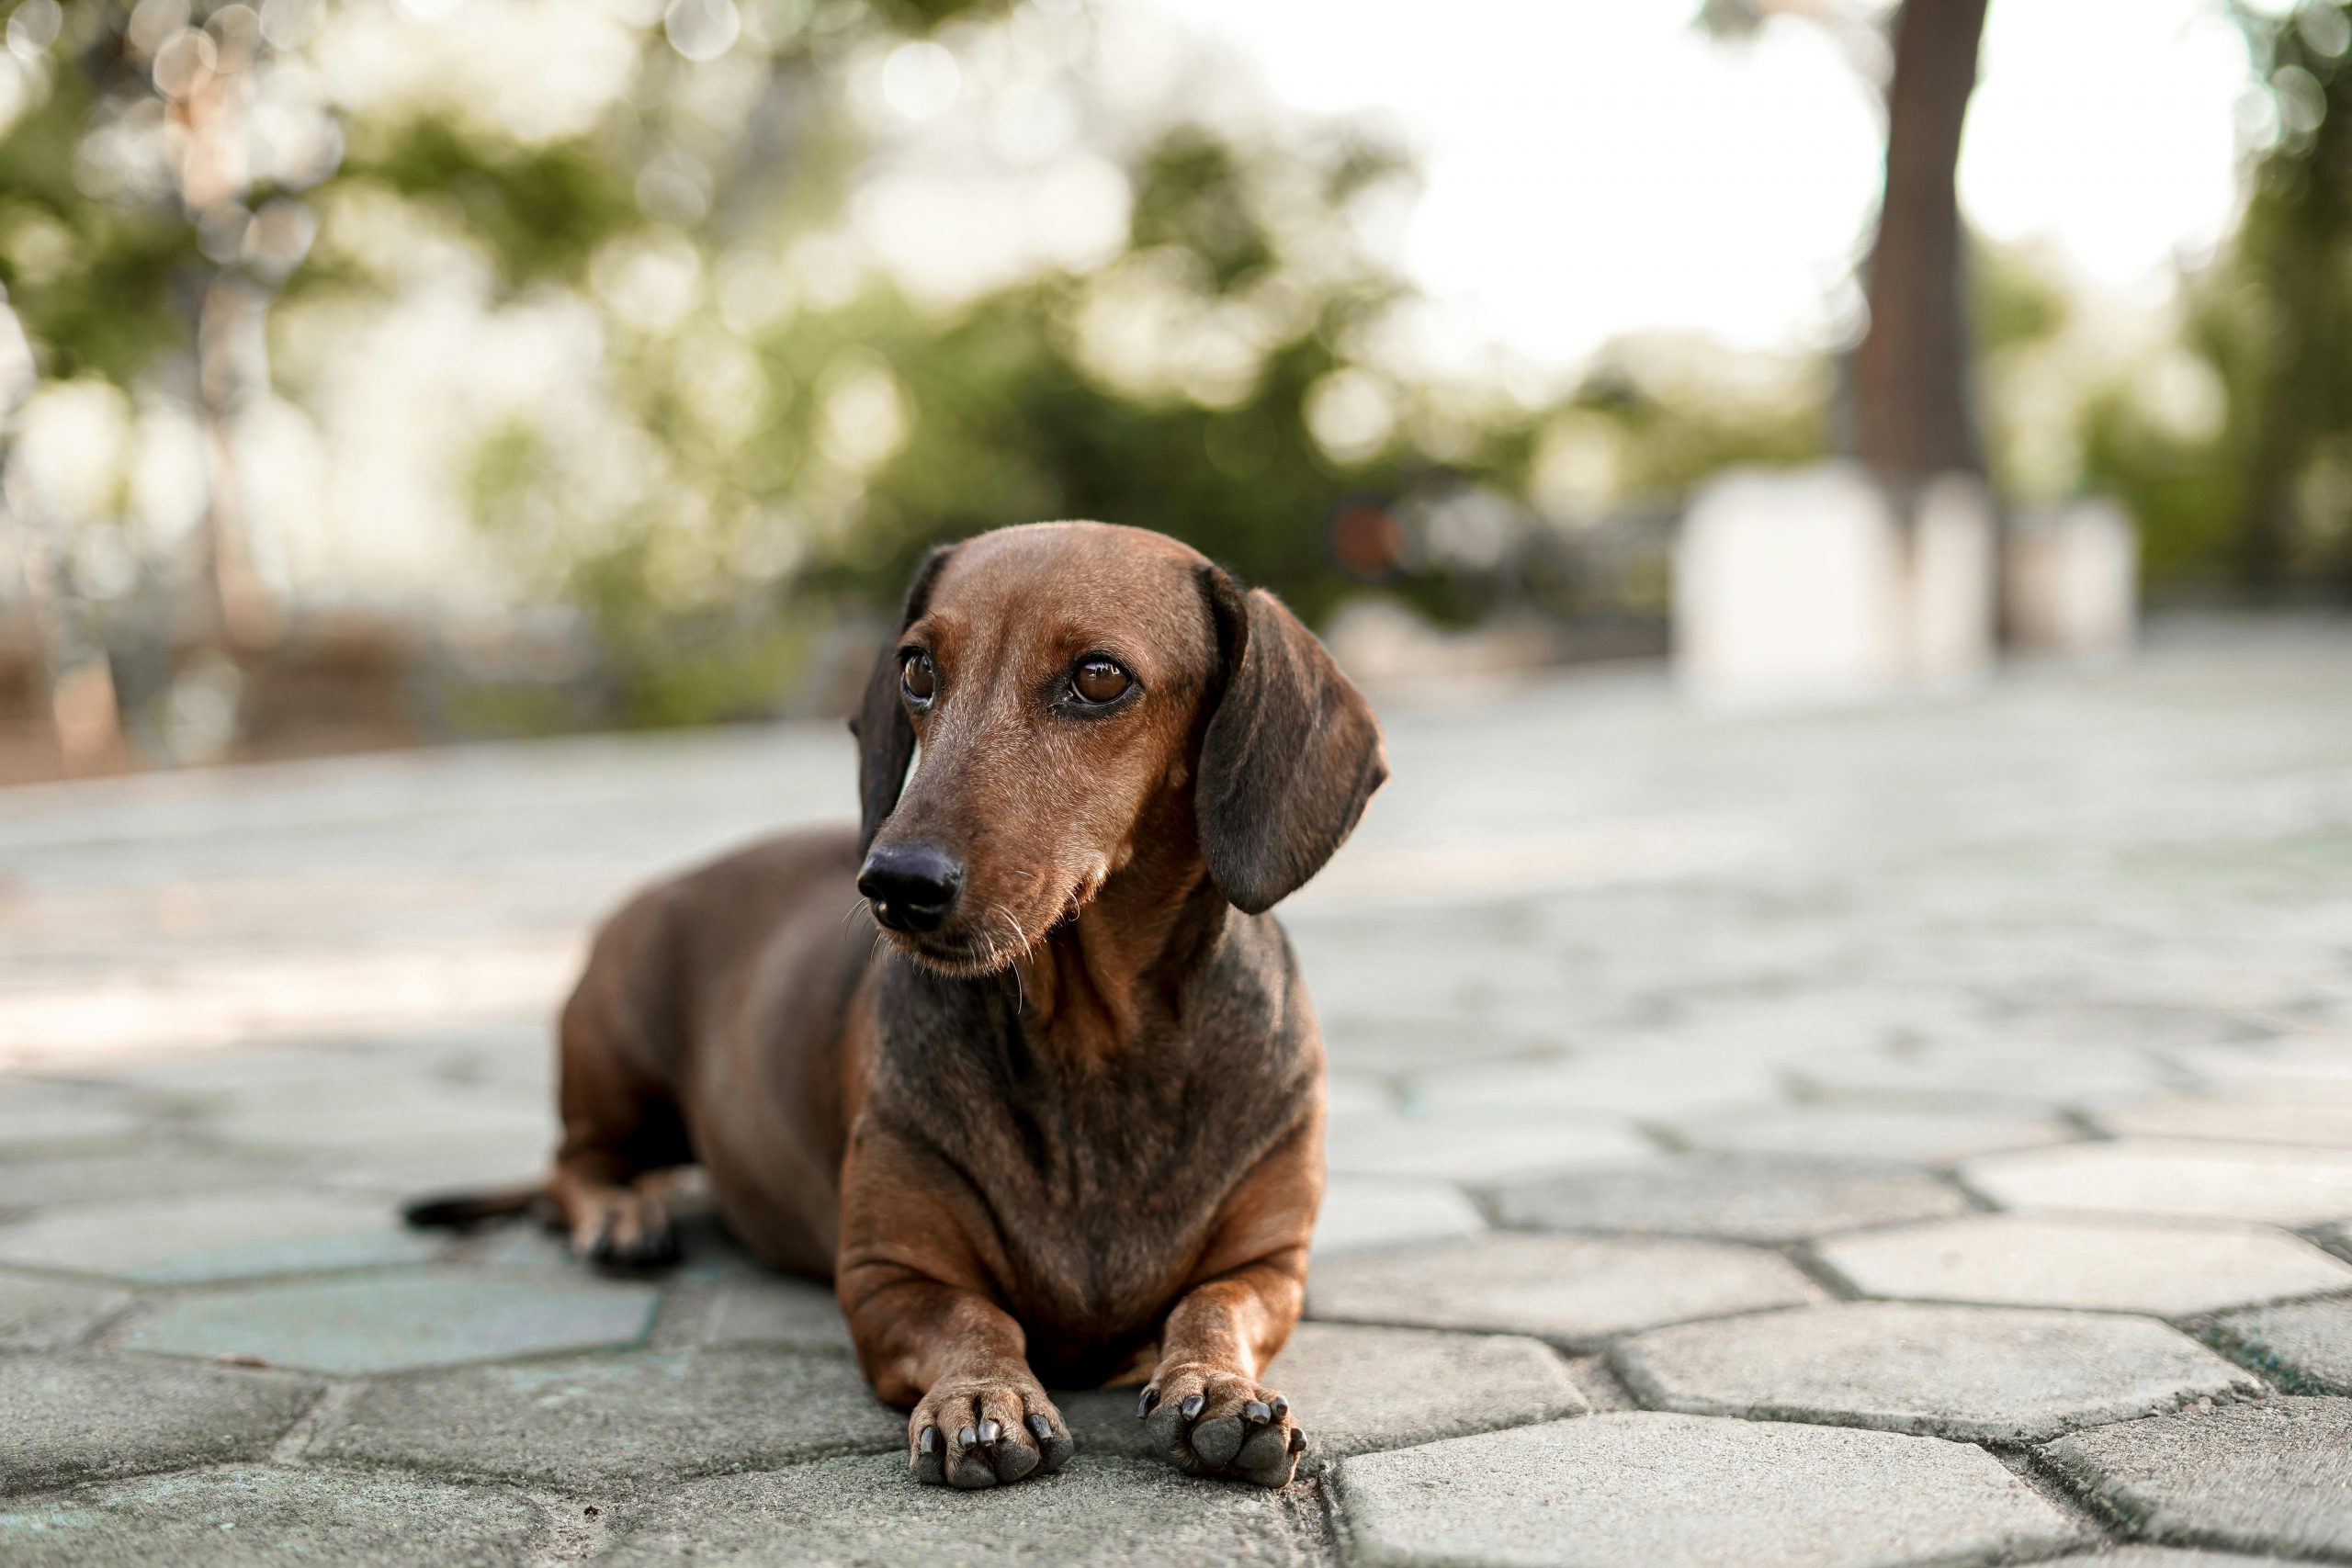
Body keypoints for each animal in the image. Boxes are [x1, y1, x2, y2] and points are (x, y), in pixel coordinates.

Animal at [412, 522, 1383, 1495]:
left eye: (1101, 677)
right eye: (918, 668)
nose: (896, 881)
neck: (1094, 1045)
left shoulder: (1271, 1267)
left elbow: (1213, 1305)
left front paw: (1219, 1387)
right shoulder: (886, 1276)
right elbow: (974, 1318)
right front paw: (982, 1397)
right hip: (617, 1059)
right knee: (574, 1164)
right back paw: (619, 1213)